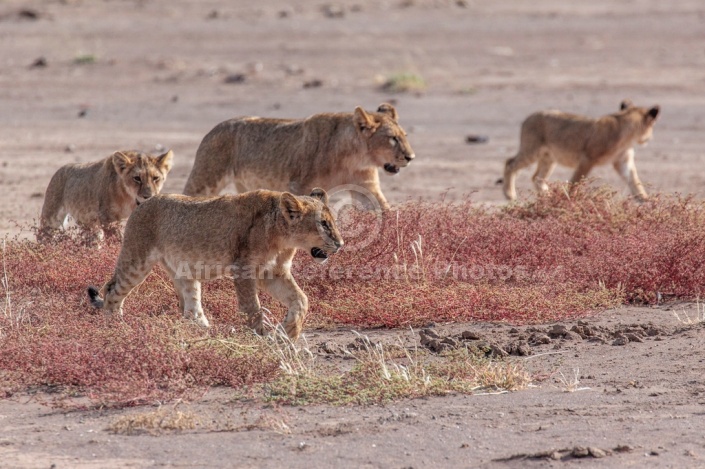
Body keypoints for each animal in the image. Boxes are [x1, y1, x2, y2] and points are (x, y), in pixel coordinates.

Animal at [39, 150, 175, 241]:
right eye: (137, 178)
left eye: (155, 178)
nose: (148, 196)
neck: (129, 198)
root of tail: (60, 169)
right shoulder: (107, 217)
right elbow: (117, 239)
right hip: (51, 220)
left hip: (89, 225)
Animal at [86, 187, 346, 340]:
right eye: (323, 224)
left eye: (331, 221)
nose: (341, 244)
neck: (283, 239)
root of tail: (143, 204)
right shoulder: (244, 269)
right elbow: (252, 307)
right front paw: (259, 337)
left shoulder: (273, 272)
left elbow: (301, 300)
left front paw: (287, 333)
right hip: (137, 259)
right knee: (112, 289)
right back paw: (117, 326)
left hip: (183, 270)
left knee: (189, 304)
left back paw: (204, 329)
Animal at [182, 104, 416, 212]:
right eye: (392, 138)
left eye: (404, 135)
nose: (410, 157)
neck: (354, 158)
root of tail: (213, 129)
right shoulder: (299, 185)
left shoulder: (367, 186)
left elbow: (384, 210)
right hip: (205, 180)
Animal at [504, 99, 656, 200]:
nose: (650, 138)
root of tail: (529, 117)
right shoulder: (587, 159)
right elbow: (575, 182)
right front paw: (570, 200)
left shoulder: (622, 162)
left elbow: (634, 181)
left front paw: (645, 200)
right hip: (531, 150)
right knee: (510, 163)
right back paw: (509, 194)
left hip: (549, 158)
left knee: (537, 178)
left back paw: (548, 197)